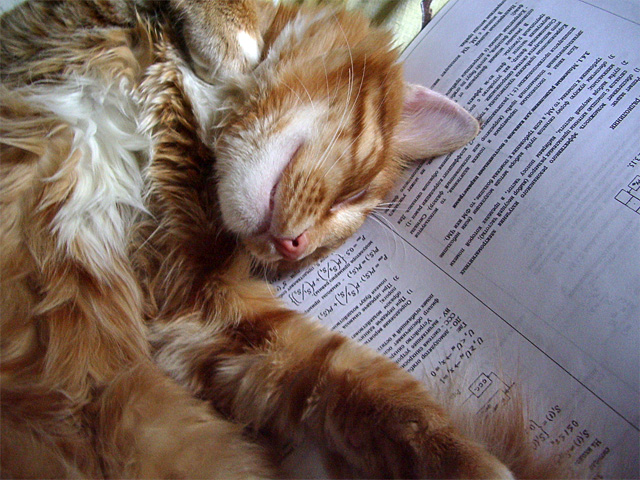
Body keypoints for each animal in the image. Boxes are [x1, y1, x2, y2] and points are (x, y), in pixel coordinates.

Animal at [0, 0, 566, 478]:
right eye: (350, 196)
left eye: (316, 253)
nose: (294, 247)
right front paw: (229, 38)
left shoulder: (199, 303)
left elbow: (352, 381)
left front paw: (457, 457)